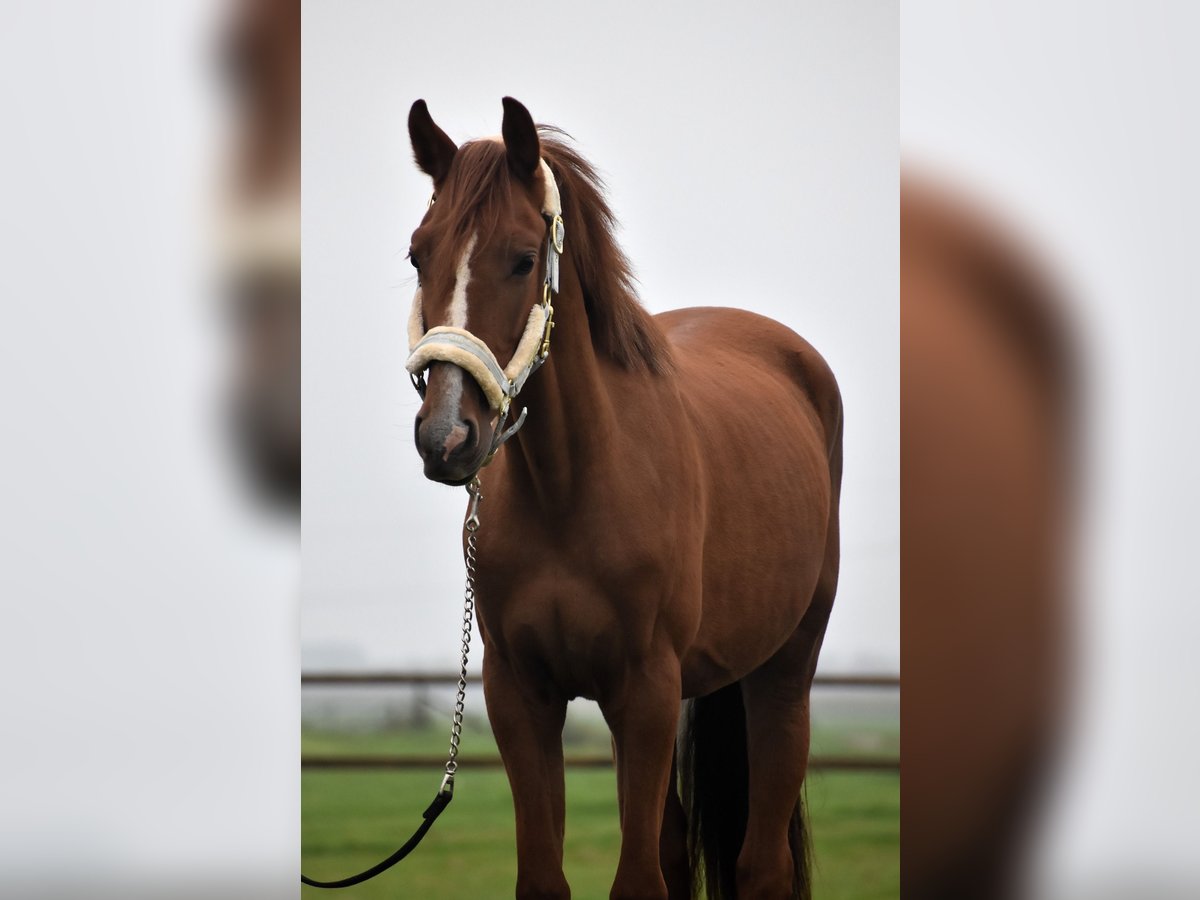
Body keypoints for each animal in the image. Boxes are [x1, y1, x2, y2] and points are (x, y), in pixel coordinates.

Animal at [403, 98, 844, 900]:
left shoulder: (643, 693)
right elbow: (549, 877)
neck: (573, 489)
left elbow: (639, 881)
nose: (445, 437)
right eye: (418, 254)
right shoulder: (521, 695)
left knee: (762, 865)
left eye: (523, 258)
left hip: (783, 675)